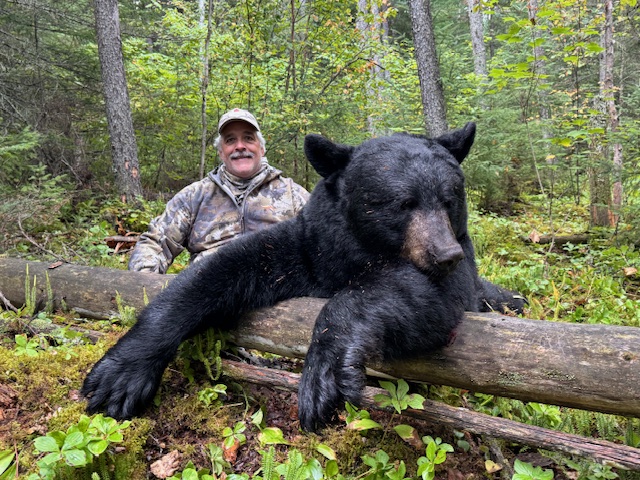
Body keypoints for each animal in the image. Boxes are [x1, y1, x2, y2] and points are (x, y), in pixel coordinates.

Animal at [82, 122, 525, 432]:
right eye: (404, 203)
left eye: (450, 199)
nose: (445, 254)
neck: (361, 251)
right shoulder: (311, 249)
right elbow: (223, 270)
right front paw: (120, 375)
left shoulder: (457, 269)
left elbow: (426, 295)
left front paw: (324, 373)